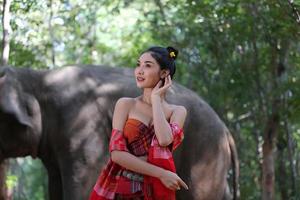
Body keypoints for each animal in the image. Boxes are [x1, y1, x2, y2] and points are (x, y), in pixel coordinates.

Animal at [0, 65, 239, 199]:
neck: (37, 78)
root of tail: (226, 132)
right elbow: (55, 185)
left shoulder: (81, 124)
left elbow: (83, 181)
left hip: (205, 156)